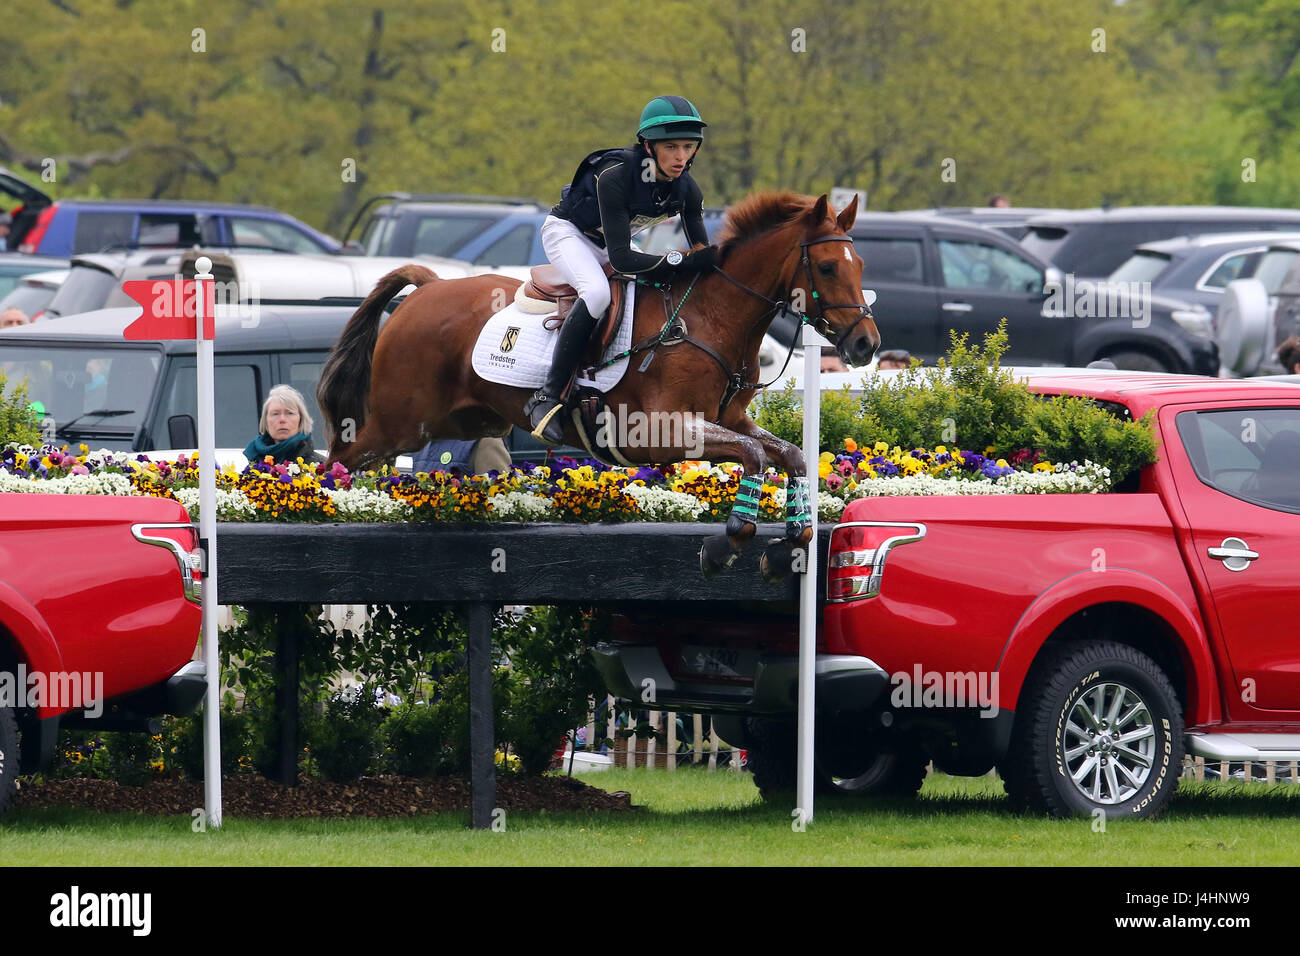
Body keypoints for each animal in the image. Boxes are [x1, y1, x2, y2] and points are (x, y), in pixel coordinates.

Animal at [318, 187, 878, 574]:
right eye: (828, 267)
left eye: (862, 265)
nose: (866, 345)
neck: (709, 318)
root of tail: (428, 288)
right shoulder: (657, 431)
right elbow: (757, 455)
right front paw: (726, 544)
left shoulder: (729, 420)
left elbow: (790, 454)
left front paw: (789, 546)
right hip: (399, 424)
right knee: (339, 458)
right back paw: (321, 508)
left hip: (455, 422)